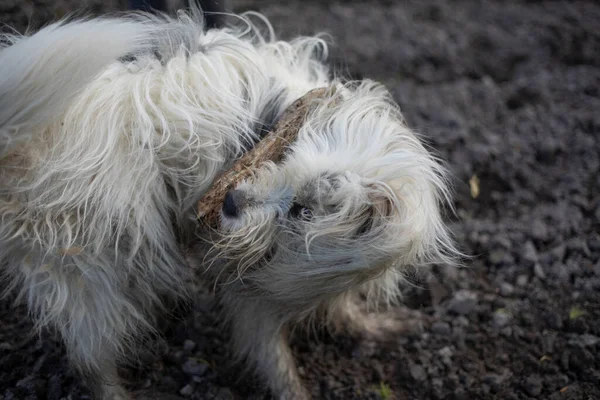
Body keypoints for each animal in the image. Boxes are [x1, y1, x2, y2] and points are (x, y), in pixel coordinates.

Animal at [0, 7, 460, 400]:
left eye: (303, 210)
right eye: (284, 160)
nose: (231, 201)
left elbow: (342, 305)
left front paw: (370, 325)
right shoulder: (254, 295)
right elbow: (274, 358)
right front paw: (295, 388)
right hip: (87, 271)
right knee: (92, 358)